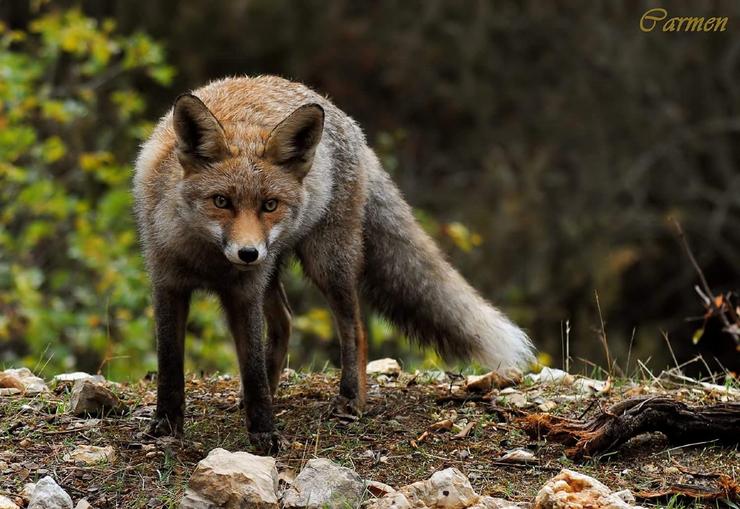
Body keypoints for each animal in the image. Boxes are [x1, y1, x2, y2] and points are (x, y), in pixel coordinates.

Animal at [133, 74, 536, 448]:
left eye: (269, 205)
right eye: (221, 201)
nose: (248, 253)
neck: (204, 258)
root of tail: (345, 118)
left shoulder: (244, 292)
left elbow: (251, 368)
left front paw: (263, 432)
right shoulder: (168, 284)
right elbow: (170, 363)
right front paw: (166, 426)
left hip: (325, 262)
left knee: (354, 327)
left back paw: (350, 399)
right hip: (276, 269)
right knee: (285, 322)